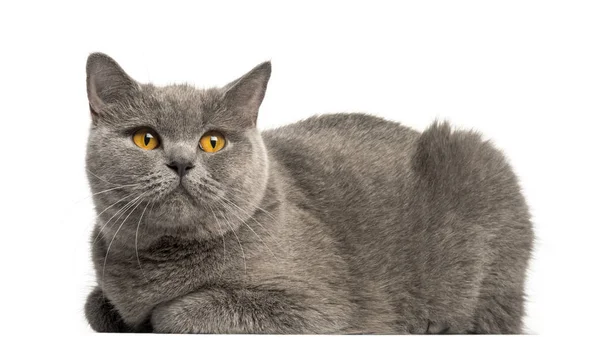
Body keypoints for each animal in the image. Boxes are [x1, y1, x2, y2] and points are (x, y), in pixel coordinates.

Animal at [84, 52, 536, 332]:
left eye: (212, 141)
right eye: (145, 139)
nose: (180, 162)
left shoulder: (320, 309)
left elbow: (179, 311)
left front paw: (155, 316)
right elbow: (95, 307)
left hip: (475, 165)